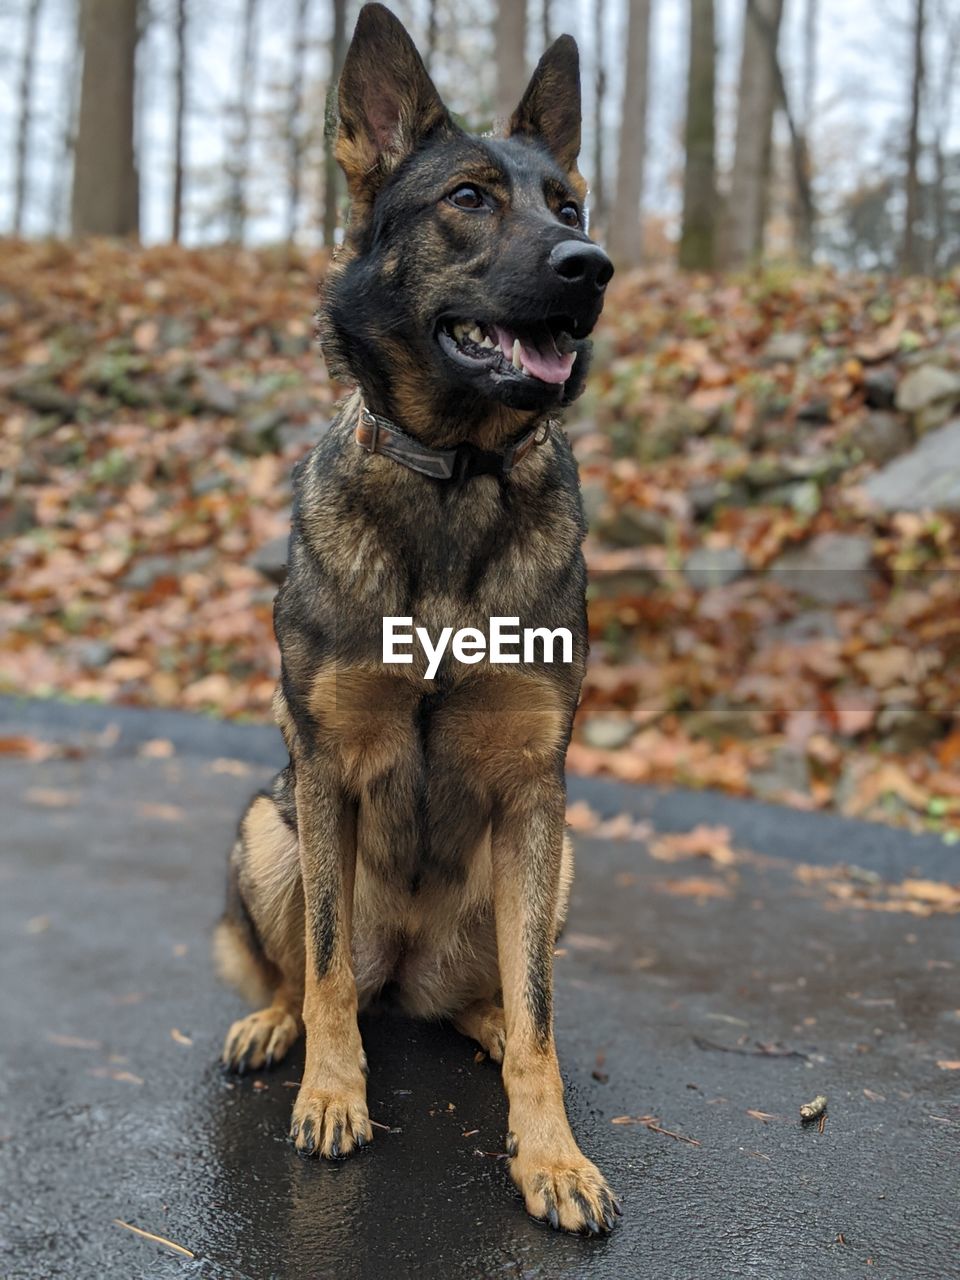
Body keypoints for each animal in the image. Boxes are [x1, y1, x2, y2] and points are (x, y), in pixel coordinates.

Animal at [215, 2, 619, 1239]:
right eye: (470, 198)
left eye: (569, 206)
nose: (592, 268)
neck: (455, 478)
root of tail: (409, 966)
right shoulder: (322, 767)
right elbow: (325, 966)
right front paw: (332, 1093)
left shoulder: (537, 784)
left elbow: (540, 1008)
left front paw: (550, 1151)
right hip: (270, 827)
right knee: (322, 973)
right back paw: (280, 1027)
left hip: (554, 866)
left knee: (504, 991)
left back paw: (484, 1030)